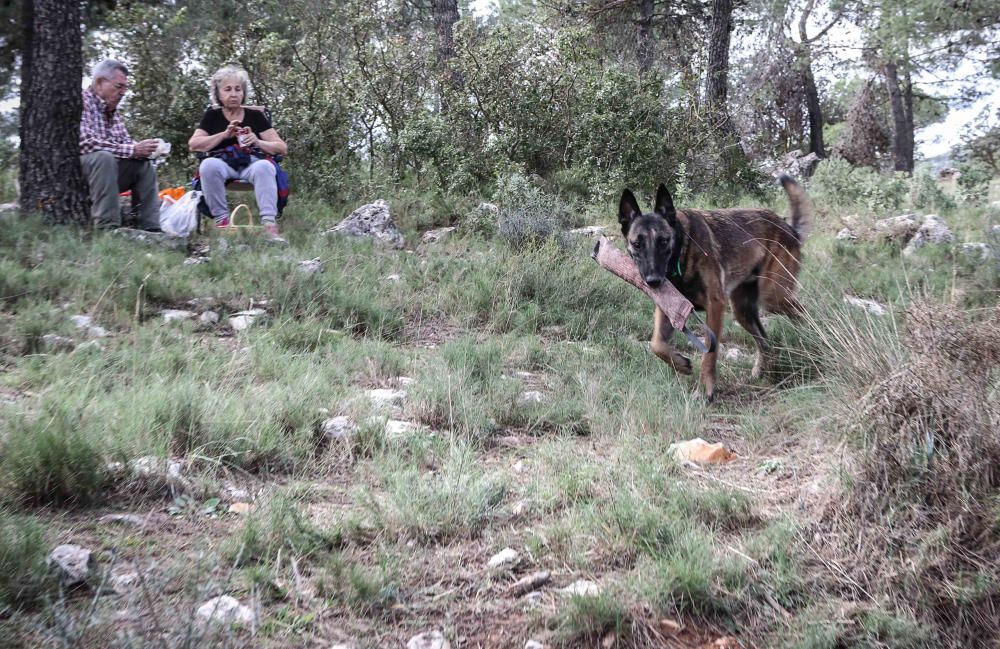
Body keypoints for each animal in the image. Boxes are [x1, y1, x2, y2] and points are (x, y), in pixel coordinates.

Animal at [616, 177, 812, 400]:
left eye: (663, 241)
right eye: (637, 244)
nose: (653, 281)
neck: (681, 252)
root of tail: (789, 228)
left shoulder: (715, 306)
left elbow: (709, 352)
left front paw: (705, 390)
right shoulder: (667, 310)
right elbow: (656, 344)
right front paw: (681, 364)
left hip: (773, 297)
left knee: (802, 312)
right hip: (743, 311)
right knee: (765, 343)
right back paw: (762, 374)